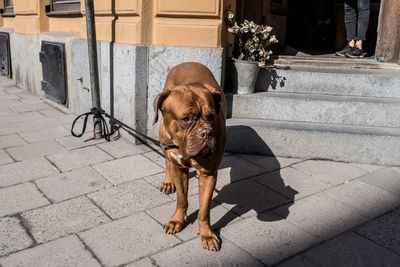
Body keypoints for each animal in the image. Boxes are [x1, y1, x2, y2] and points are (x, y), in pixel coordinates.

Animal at [153, 61, 227, 252]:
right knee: (167, 161)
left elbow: (204, 209)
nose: (207, 133)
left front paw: (207, 234)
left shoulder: (209, 173)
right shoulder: (179, 168)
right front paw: (177, 220)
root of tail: (188, 62)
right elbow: (181, 198)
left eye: (212, 116)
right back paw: (167, 182)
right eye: (186, 119)